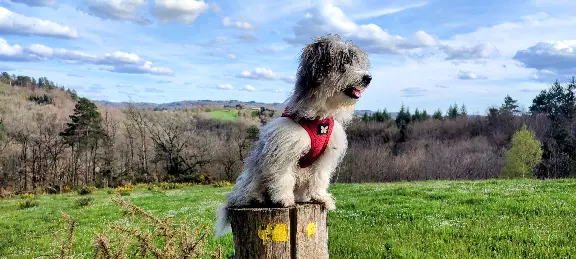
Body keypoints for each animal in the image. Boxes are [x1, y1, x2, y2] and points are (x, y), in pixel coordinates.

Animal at [214, 35, 372, 240]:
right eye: (343, 64)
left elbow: (319, 177)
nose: (368, 78)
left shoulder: (324, 157)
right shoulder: (284, 150)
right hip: (253, 174)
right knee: (247, 191)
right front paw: (284, 199)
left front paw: (320, 197)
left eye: (357, 62)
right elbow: (283, 177)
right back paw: (256, 197)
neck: (317, 117)